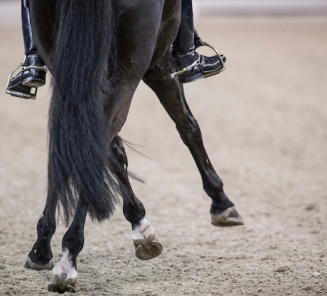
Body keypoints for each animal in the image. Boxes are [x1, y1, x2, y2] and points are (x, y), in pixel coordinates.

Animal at [25, 0, 245, 292]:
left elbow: (114, 152)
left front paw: (139, 223)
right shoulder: (161, 65)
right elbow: (188, 126)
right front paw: (221, 202)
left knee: (73, 148)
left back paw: (42, 248)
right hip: (128, 71)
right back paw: (67, 260)